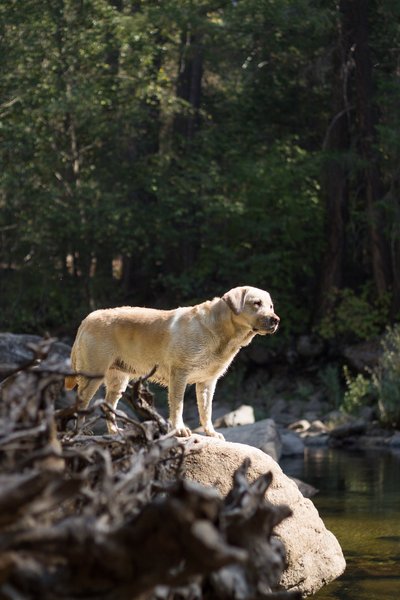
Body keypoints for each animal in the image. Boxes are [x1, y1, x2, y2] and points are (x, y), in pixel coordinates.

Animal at [64, 286, 280, 436]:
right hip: (93, 375)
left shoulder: (207, 383)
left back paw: (115, 432)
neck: (221, 331)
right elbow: (178, 406)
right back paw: (80, 432)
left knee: (109, 405)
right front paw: (179, 430)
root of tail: (87, 318)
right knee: (81, 403)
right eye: (256, 303)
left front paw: (211, 433)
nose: (276, 320)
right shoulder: (179, 375)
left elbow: (206, 411)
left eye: (270, 306)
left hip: (118, 380)